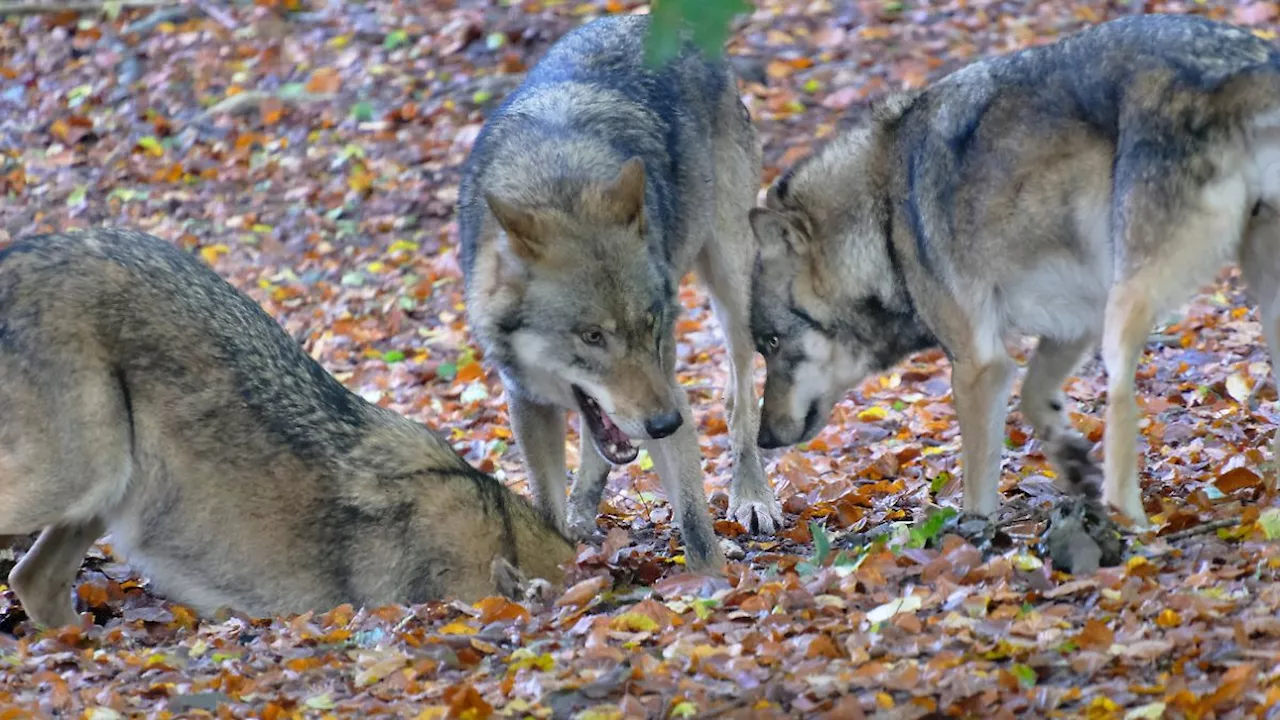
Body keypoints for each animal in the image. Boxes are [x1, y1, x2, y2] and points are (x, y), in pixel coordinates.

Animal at [458, 14, 778, 568]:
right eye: (591, 336)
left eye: (649, 324)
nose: (665, 422)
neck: (556, 183)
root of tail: (652, 18)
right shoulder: (526, 402)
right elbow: (547, 507)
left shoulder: (665, 379)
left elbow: (695, 522)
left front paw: (713, 581)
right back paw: (583, 511)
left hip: (733, 287)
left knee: (739, 400)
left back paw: (751, 497)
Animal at [747, 12, 1280, 527]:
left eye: (771, 342)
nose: (764, 438)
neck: (883, 218)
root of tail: (1248, 63)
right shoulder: (1074, 318)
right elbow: (1034, 396)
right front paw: (1071, 464)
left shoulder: (980, 365)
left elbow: (978, 475)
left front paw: (974, 534)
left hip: (1129, 304)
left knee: (1120, 397)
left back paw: (1127, 517)